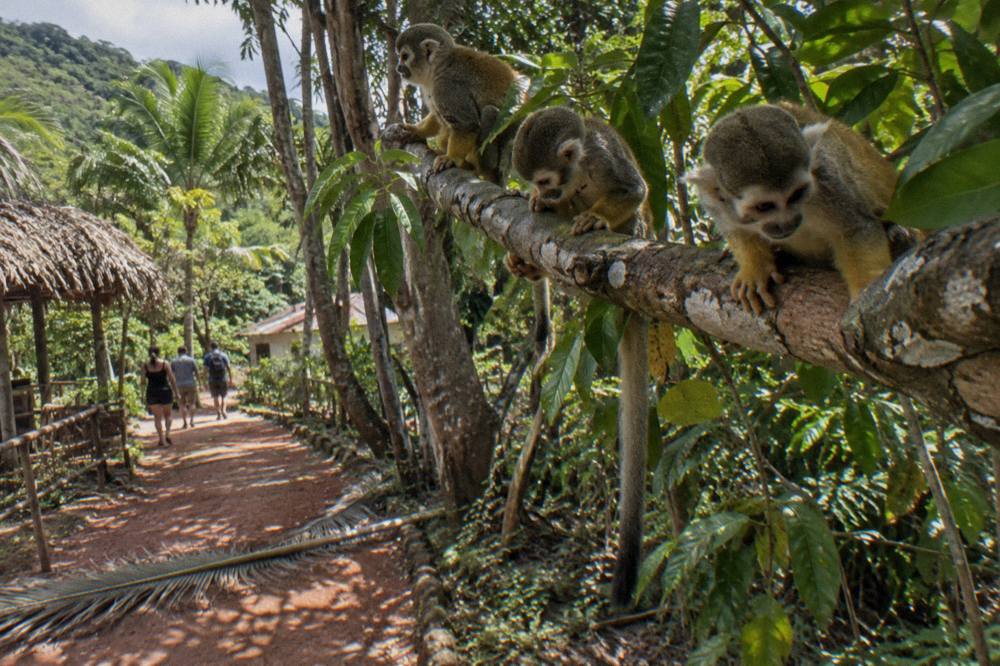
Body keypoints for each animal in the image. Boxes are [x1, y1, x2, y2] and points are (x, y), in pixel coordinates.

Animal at [391, 23, 521, 180]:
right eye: (400, 57)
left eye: (405, 56)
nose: (398, 68)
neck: (438, 67)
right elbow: (436, 115)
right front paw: (416, 130)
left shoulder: (447, 86)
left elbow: (466, 124)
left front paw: (451, 158)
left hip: (498, 158)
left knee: (489, 111)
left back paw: (476, 167)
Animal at [507, 107, 651, 606]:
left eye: (547, 176)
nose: (547, 191)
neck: (582, 161)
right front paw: (537, 203)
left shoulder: (605, 160)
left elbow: (634, 191)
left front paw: (592, 218)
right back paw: (528, 264)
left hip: (633, 238)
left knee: (632, 216)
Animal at [687, 102, 905, 314]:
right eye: (764, 206)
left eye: (796, 194)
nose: (787, 223)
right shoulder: (714, 202)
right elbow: (737, 231)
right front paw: (755, 268)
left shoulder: (827, 179)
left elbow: (855, 229)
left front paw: (865, 293)